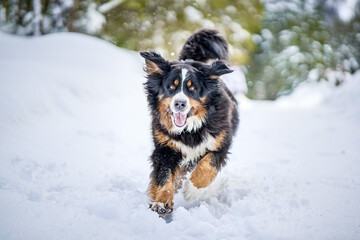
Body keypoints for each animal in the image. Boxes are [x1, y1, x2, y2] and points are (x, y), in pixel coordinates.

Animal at [141, 28, 239, 216]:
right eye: (171, 87)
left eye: (192, 88)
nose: (180, 103)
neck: (189, 130)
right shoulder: (165, 147)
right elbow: (164, 176)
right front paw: (161, 202)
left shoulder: (221, 144)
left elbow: (207, 167)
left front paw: (191, 191)